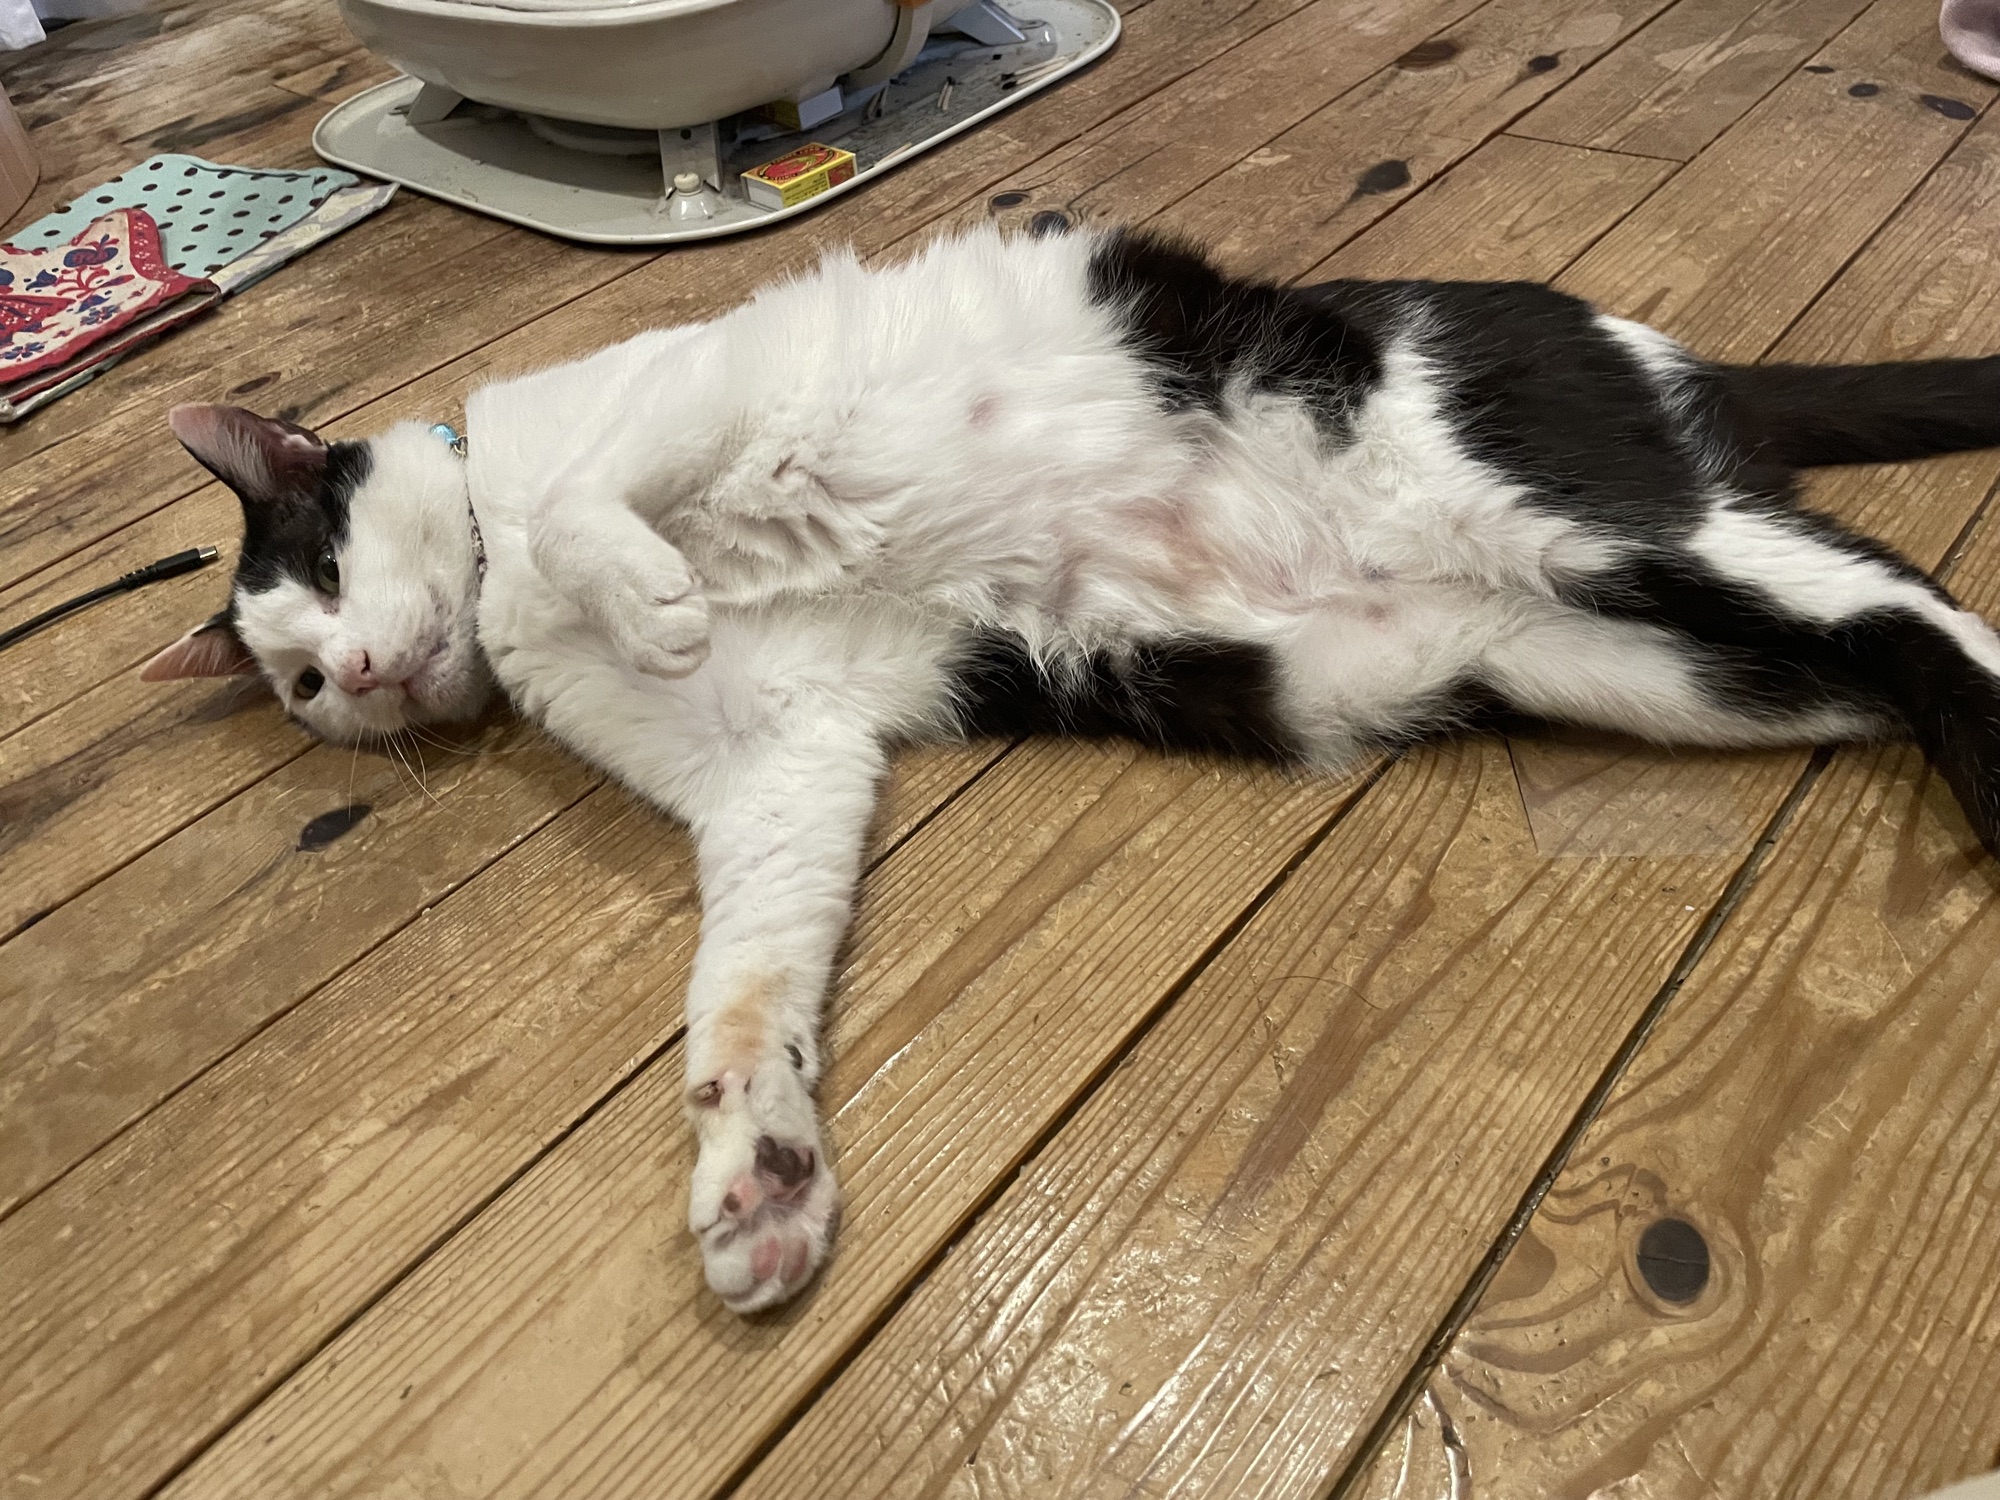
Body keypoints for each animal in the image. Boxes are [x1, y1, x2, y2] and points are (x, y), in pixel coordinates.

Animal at [141, 224, 2000, 1313]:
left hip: (1576, 511)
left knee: (1920, 596)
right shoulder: (780, 765)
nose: (358, 675)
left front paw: (642, 581)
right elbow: (745, 986)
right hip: (1622, 659)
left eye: (319, 568)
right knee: (1888, 636)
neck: (497, 587)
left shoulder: (700, 394)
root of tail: (1657, 362)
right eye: (294, 677)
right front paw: (758, 1167)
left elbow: (614, 491)